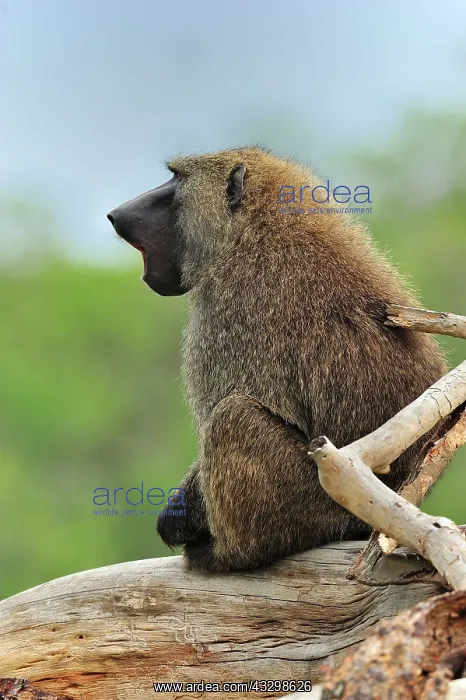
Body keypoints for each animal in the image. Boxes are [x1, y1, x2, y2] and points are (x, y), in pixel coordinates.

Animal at [107, 147, 445, 573]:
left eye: (177, 180)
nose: (116, 214)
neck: (257, 228)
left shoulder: (224, 310)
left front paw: (181, 518)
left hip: (313, 506)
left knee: (232, 416)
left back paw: (230, 555)